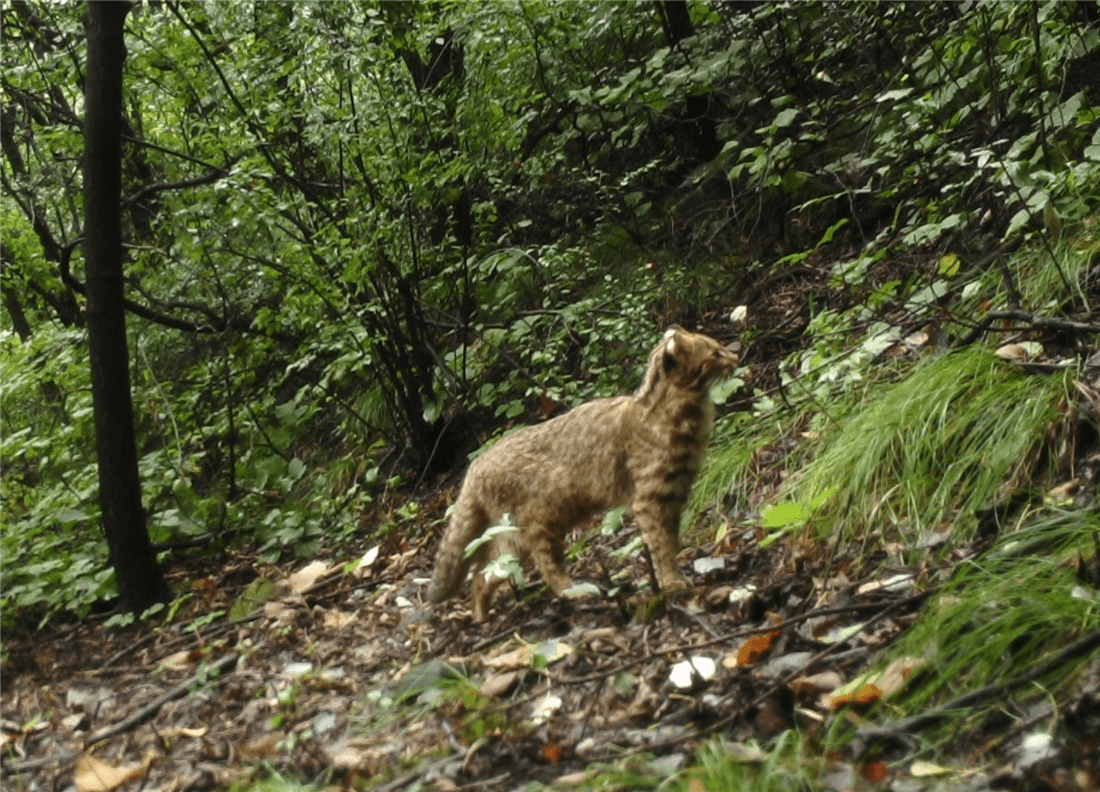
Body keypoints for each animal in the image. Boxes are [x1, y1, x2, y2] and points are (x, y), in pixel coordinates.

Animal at [429, 325, 739, 620]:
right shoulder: (651, 499)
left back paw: (481, 616)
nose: (736, 356)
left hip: (512, 538)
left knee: (483, 574)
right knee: (544, 566)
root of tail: (475, 466)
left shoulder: (676, 494)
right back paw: (575, 590)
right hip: (540, 524)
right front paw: (672, 582)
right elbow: (661, 544)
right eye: (714, 352)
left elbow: (671, 540)